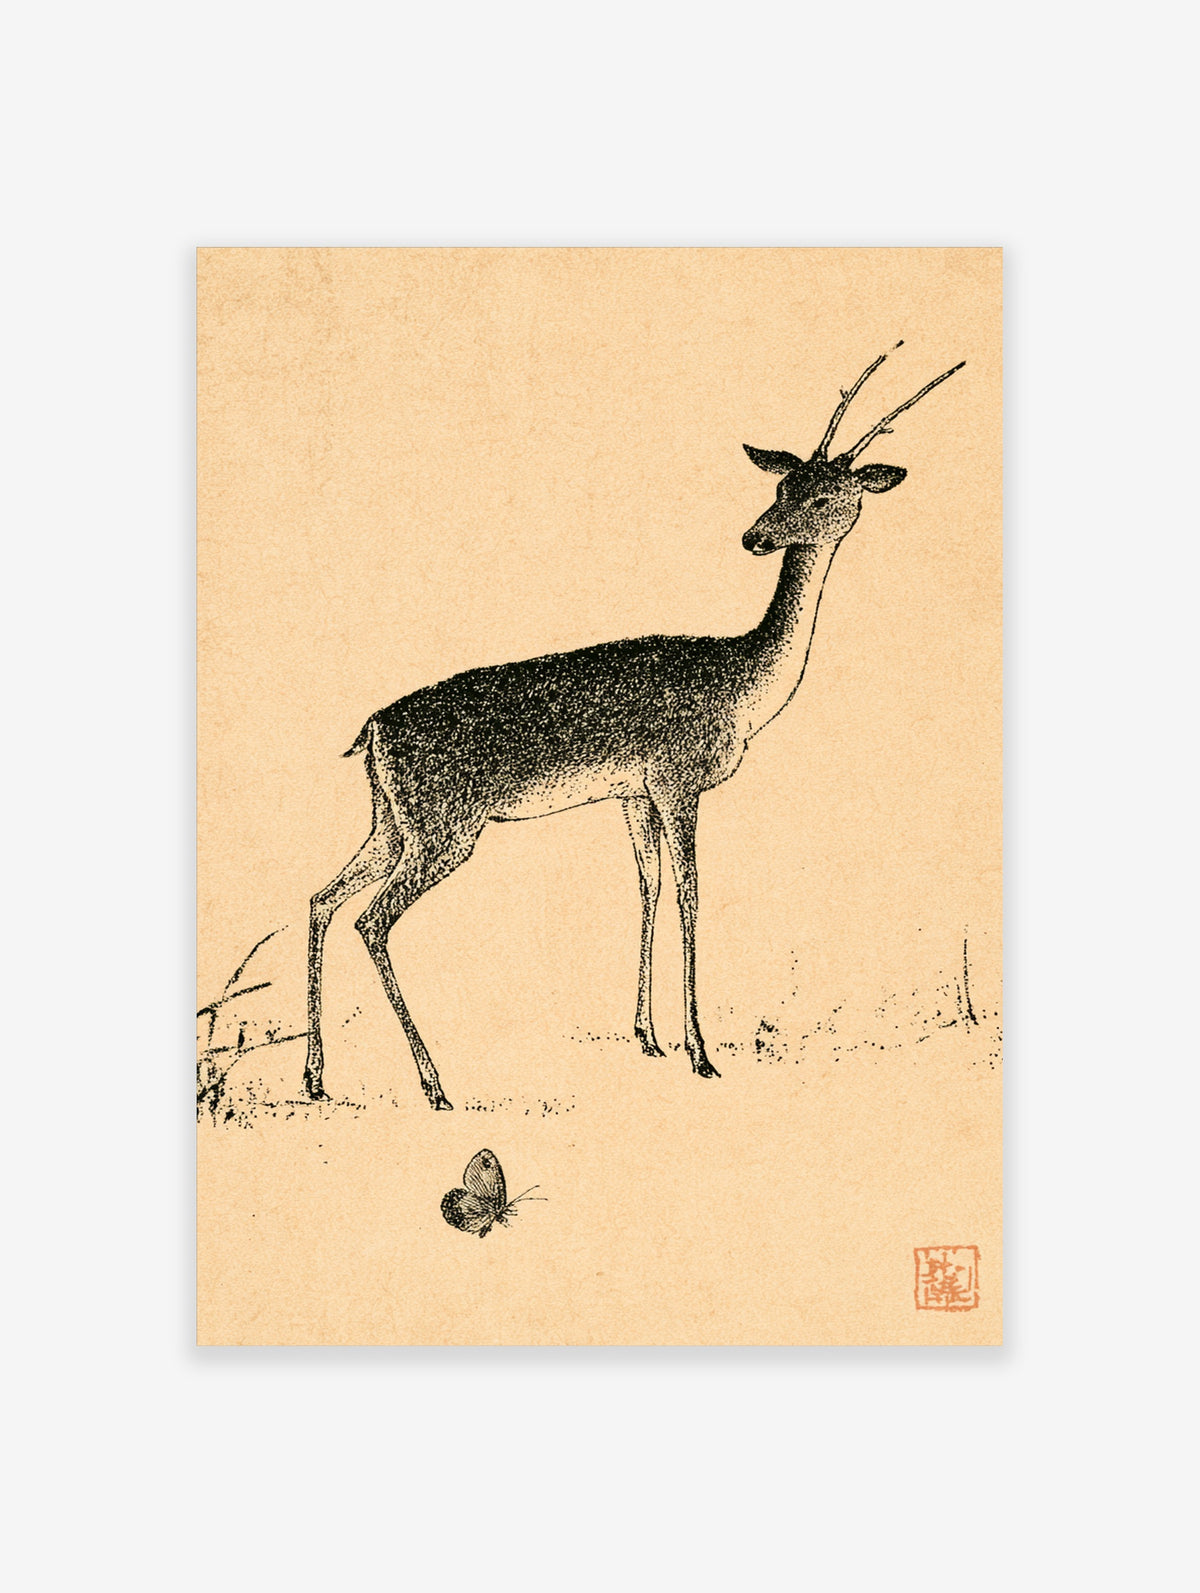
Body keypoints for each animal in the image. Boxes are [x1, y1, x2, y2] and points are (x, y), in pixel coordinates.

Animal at [304, 346, 964, 1109]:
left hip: (391, 821)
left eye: (824, 494)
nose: (754, 537)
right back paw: (435, 1084)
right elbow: (691, 893)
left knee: (321, 898)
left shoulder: (633, 793)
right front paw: (701, 1054)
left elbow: (647, 886)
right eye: (783, 485)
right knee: (370, 918)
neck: (740, 683)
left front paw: (648, 1037)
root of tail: (372, 729)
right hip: (446, 826)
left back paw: (317, 1076)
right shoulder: (679, 782)